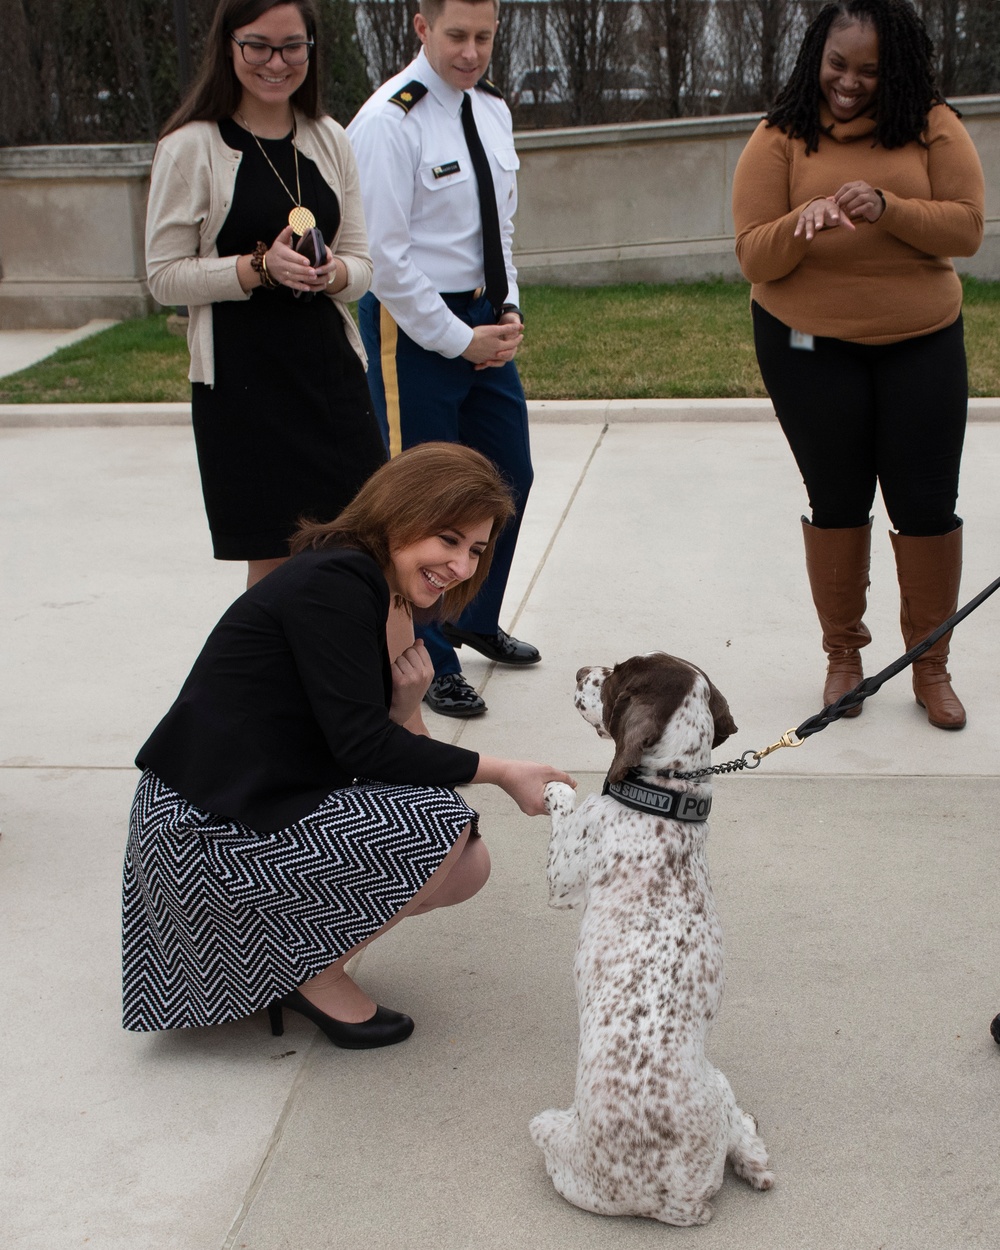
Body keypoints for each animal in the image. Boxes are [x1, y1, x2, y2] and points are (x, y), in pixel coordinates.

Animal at [530, 660, 775, 1225]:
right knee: (745, 1149)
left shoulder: (562, 880)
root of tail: (676, 1204)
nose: (580, 669)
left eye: (616, 674)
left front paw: (554, 785)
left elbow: (564, 804)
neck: (666, 795)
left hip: (548, 1124)